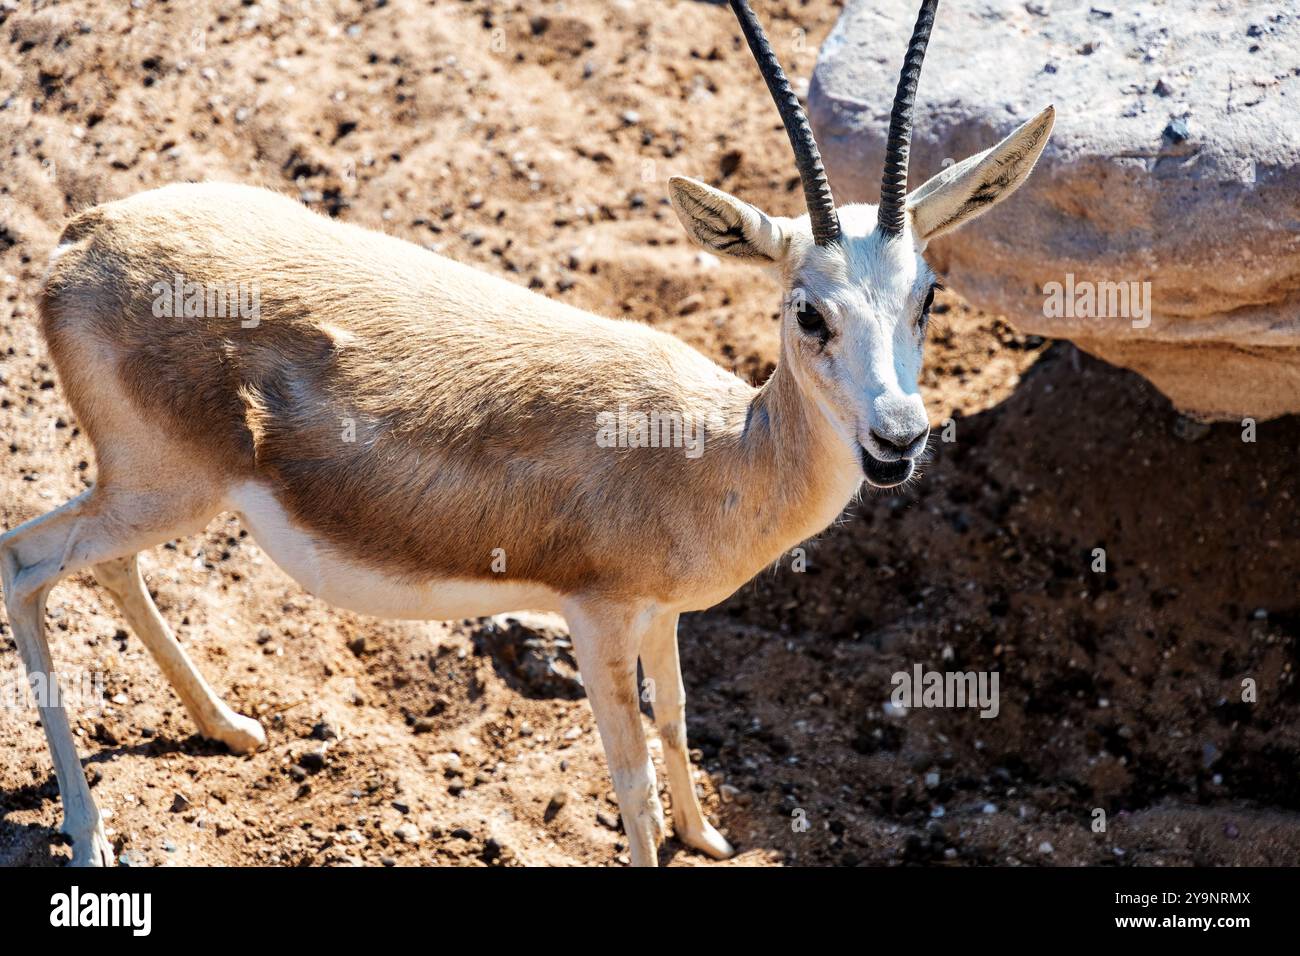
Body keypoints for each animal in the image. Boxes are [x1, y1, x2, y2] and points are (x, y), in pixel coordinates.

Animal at [1, 0, 1052, 867]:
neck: (718, 449)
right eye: (809, 312)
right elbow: (627, 779)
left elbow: (678, 716)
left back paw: (232, 731)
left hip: (151, 494)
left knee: (101, 564)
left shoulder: (661, 614)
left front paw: (710, 838)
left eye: (927, 297)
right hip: (165, 489)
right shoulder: (595, 616)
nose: (898, 438)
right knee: (27, 561)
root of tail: (81, 236)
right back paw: (89, 833)